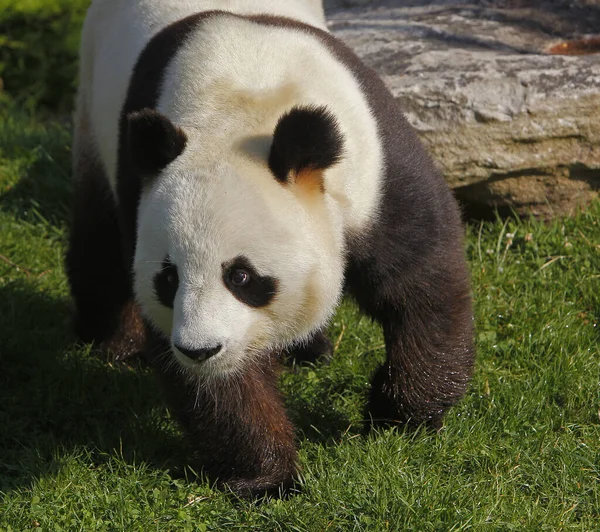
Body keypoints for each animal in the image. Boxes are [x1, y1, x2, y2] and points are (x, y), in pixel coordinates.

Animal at [65, 0, 476, 498]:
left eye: (241, 276)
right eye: (168, 278)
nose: (200, 349)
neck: (240, 107)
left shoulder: (375, 167)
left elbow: (421, 281)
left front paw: (398, 415)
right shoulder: (144, 189)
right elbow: (221, 383)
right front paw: (266, 478)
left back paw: (309, 350)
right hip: (97, 119)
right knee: (101, 245)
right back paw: (116, 345)